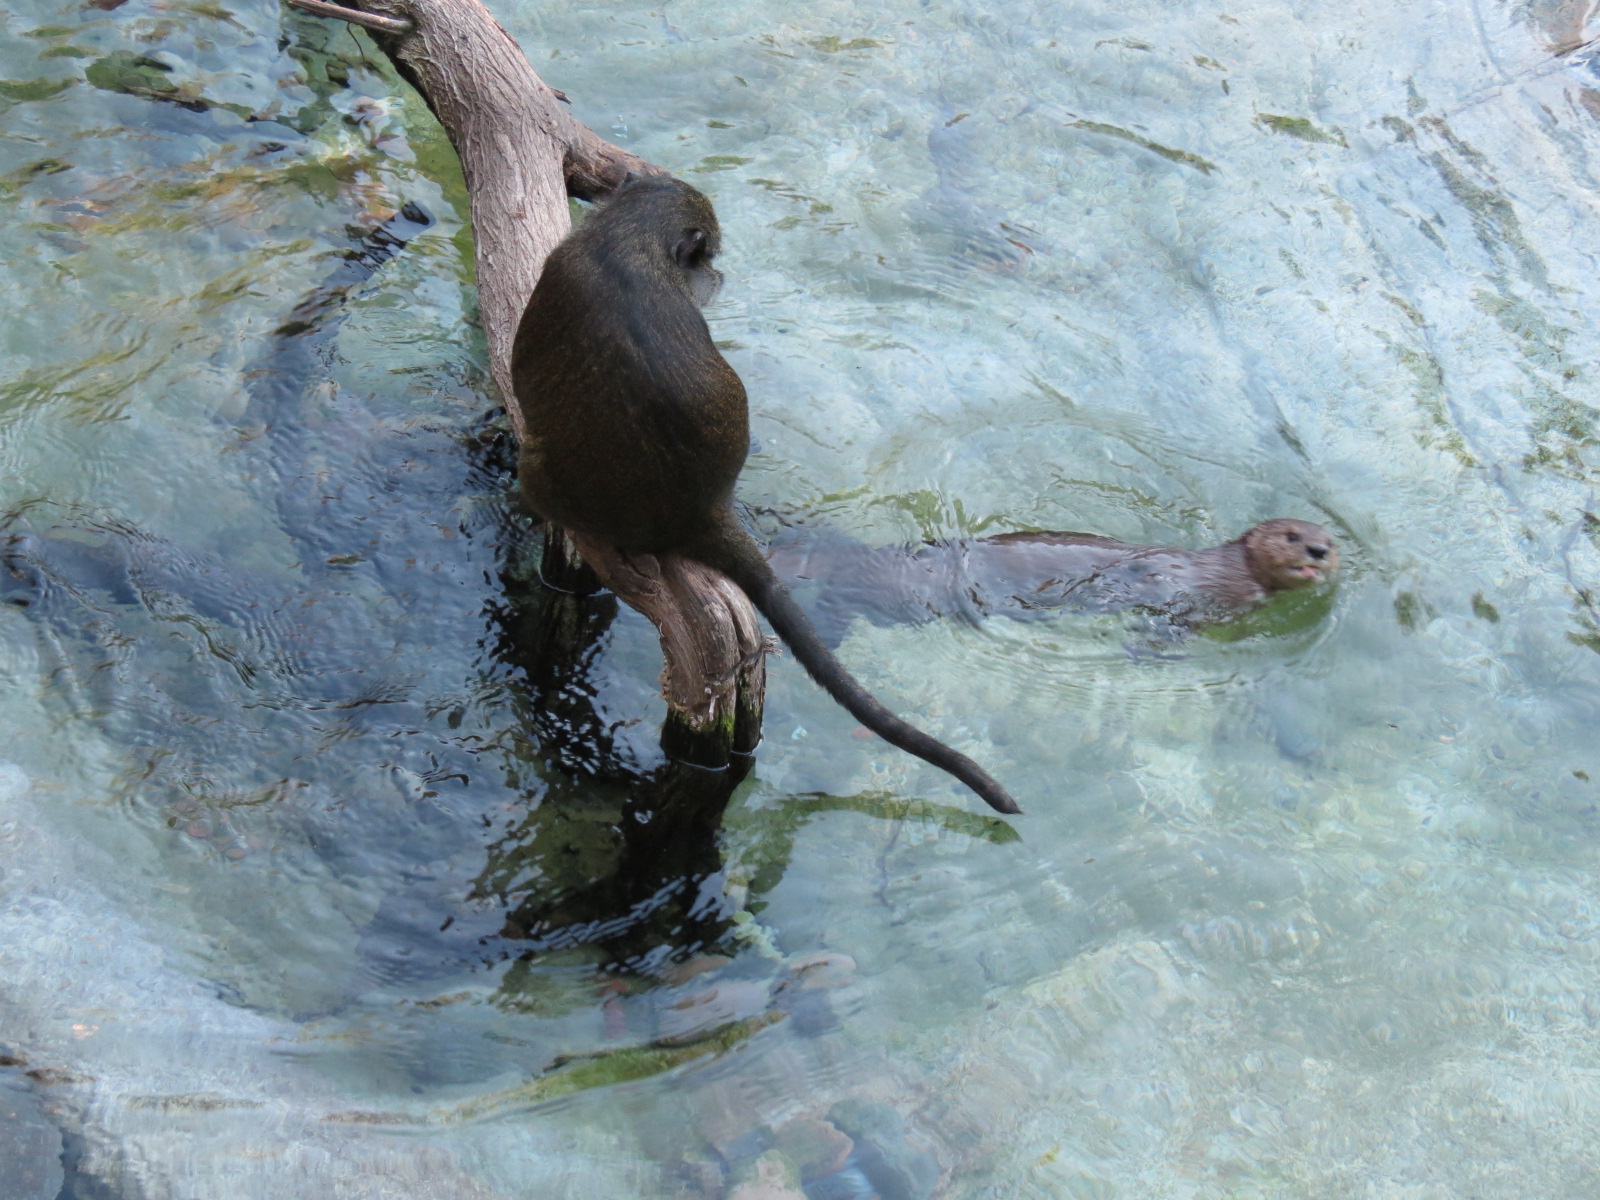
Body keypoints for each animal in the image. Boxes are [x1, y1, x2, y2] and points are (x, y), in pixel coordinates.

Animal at [510, 175, 1019, 814]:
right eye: (709, 259)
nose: (718, 278)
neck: (626, 240)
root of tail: (701, 511)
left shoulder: (556, 275)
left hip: (544, 477)